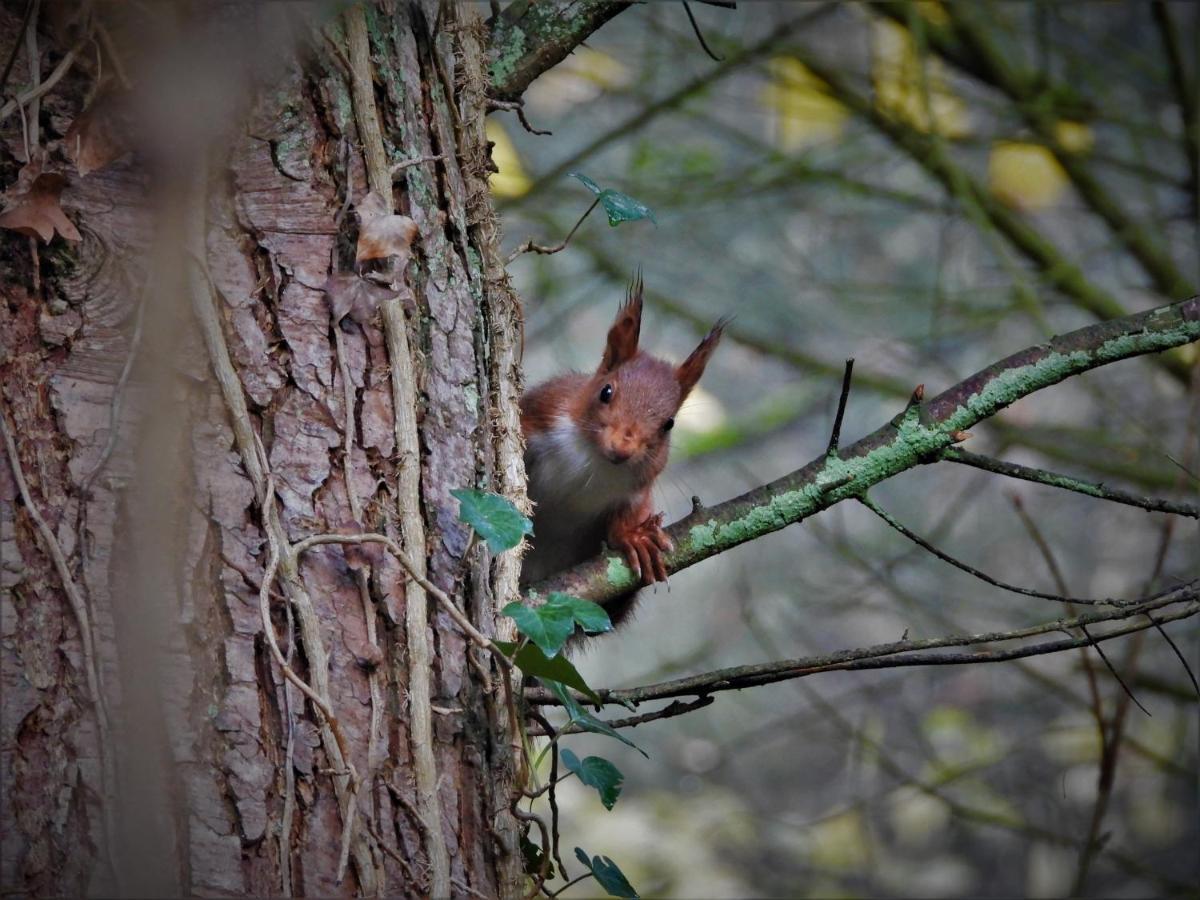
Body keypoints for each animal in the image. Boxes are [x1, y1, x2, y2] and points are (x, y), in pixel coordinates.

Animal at [516, 277, 720, 628]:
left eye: (669, 424)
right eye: (606, 391)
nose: (623, 448)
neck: (594, 460)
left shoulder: (640, 486)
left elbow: (628, 513)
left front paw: (633, 537)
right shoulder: (547, 409)